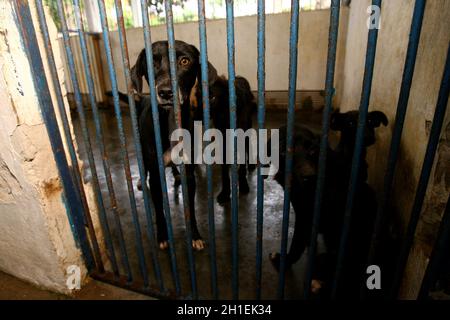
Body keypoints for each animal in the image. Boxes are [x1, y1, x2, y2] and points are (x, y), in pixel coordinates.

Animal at [129, 40, 219, 250]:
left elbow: (190, 209)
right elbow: (159, 210)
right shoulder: (156, 174)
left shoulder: (190, 174)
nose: (165, 92)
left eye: (184, 61)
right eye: (151, 62)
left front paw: (195, 236)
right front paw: (162, 236)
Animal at [268, 109, 388, 298]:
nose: (310, 177)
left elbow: (296, 244)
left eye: (313, 150)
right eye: (284, 151)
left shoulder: (306, 216)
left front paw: (284, 261)